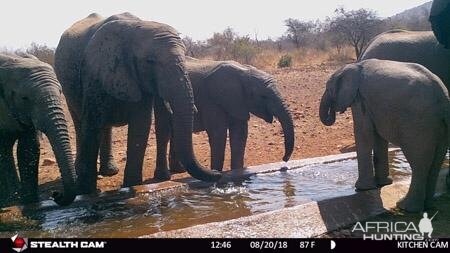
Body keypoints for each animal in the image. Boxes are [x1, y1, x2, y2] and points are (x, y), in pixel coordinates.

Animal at [0, 52, 77, 206]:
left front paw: (29, 201)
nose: (55, 194)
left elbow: (28, 148)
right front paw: (13, 200)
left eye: (60, 92)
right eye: (24, 98)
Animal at [55, 12, 221, 194]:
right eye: (150, 61)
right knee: (80, 122)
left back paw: (110, 171)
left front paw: (131, 186)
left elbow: (141, 125)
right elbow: (92, 123)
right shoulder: (95, 71)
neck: (135, 28)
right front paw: (87, 192)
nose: (217, 172)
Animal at [153, 57, 296, 180]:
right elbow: (218, 134)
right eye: (263, 96)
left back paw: (179, 170)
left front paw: (237, 173)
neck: (244, 72)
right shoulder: (211, 100)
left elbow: (240, 134)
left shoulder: (239, 101)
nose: (284, 160)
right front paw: (217, 173)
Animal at [318, 58, 448, 211]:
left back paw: (405, 207)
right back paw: (428, 206)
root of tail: (442, 96)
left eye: (329, 89)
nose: (333, 113)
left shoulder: (360, 99)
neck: (353, 66)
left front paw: (362, 188)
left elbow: (364, 133)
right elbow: (378, 138)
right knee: (436, 162)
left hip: (418, 122)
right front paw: (383, 184)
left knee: (419, 163)